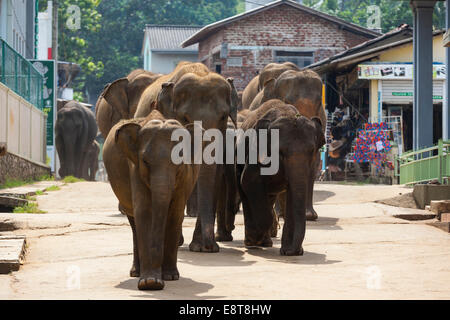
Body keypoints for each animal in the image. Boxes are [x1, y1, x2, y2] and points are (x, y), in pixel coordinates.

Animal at [103, 110, 201, 290]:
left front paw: (169, 277)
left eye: (180, 161)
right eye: (145, 161)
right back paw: (136, 273)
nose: (159, 280)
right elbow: (144, 212)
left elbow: (175, 213)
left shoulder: (185, 176)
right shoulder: (135, 168)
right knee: (133, 222)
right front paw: (150, 283)